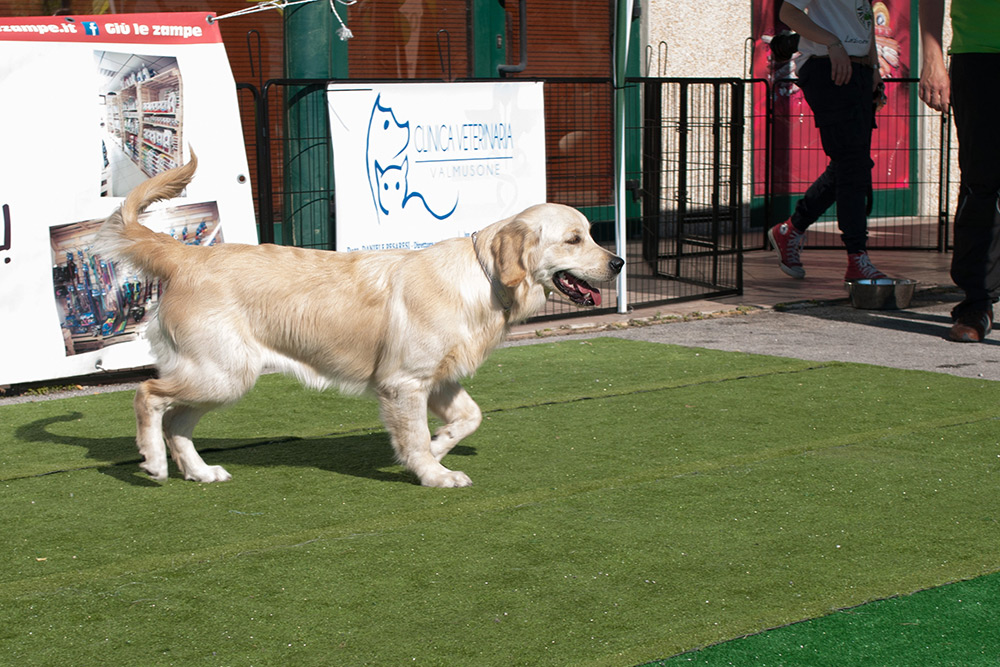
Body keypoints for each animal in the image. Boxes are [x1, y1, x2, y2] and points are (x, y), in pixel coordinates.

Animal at [95, 154, 624, 488]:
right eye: (575, 239)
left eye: (592, 233)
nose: (619, 263)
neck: (482, 279)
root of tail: (187, 256)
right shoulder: (404, 382)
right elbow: (415, 436)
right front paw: (434, 473)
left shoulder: (439, 380)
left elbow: (469, 418)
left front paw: (440, 445)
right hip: (223, 372)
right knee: (147, 395)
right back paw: (153, 462)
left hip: (221, 376)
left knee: (176, 421)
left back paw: (200, 471)